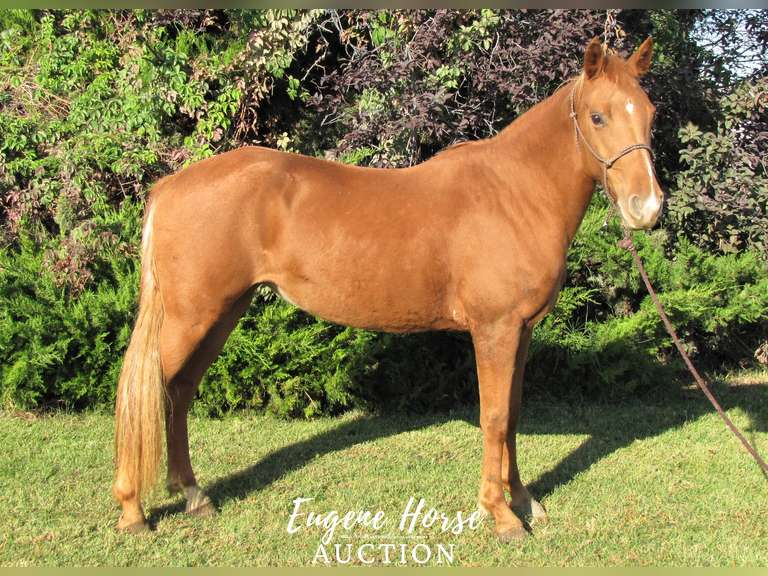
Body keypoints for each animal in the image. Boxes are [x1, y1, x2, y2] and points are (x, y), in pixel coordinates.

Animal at [113, 36, 663, 541]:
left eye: (649, 114)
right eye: (597, 117)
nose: (647, 207)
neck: (514, 193)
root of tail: (168, 188)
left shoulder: (521, 331)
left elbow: (512, 415)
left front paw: (525, 500)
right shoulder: (495, 329)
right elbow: (494, 416)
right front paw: (502, 515)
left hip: (221, 315)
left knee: (177, 391)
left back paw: (193, 495)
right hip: (193, 316)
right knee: (142, 390)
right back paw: (133, 509)